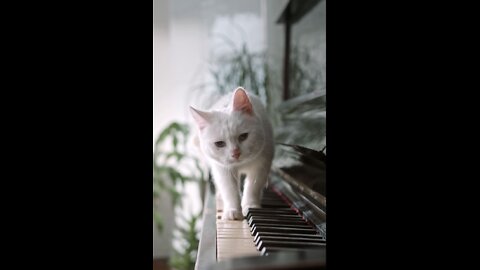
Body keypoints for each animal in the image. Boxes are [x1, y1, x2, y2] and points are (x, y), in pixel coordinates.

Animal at [190, 87, 274, 220]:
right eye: (219, 144)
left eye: (243, 136)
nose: (236, 153)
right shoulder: (223, 170)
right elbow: (230, 190)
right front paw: (232, 211)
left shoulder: (262, 164)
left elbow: (253, 186)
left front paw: (250, 205)